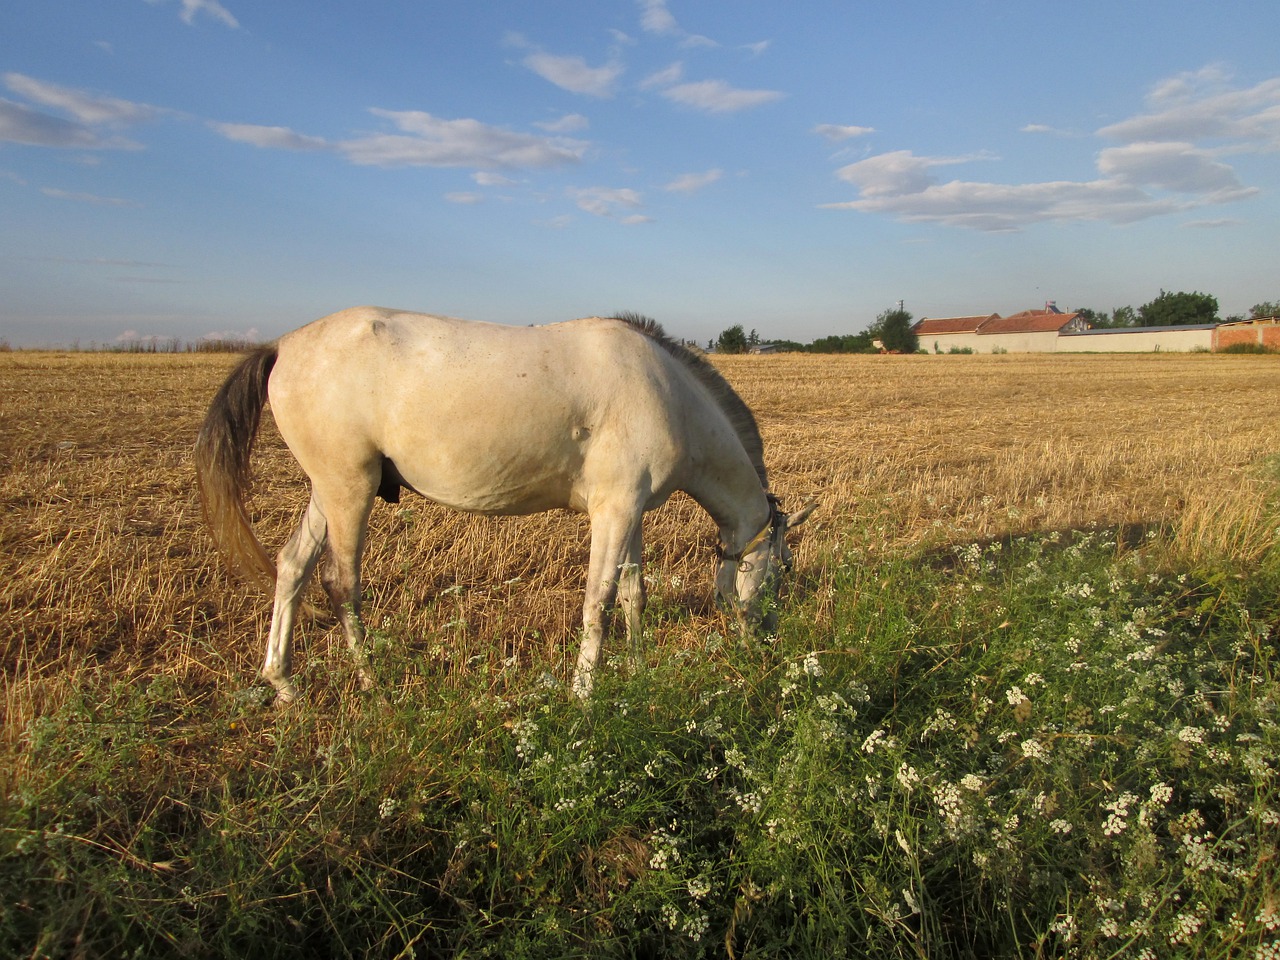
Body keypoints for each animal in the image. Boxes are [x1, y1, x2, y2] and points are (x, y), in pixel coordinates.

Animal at [194, 309, 814, 706]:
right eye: (782, 571)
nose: (768, 642)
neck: (667, 392)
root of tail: (282, 346)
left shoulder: (632, 510)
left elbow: (634, 592)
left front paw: (638, 671)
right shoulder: (613, 511)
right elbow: (599, 599)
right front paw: (584, 694)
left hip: (326, 491)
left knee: (292, 568)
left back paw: (284, 684)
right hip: (350, 491)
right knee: (340, 583)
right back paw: (373, 687)